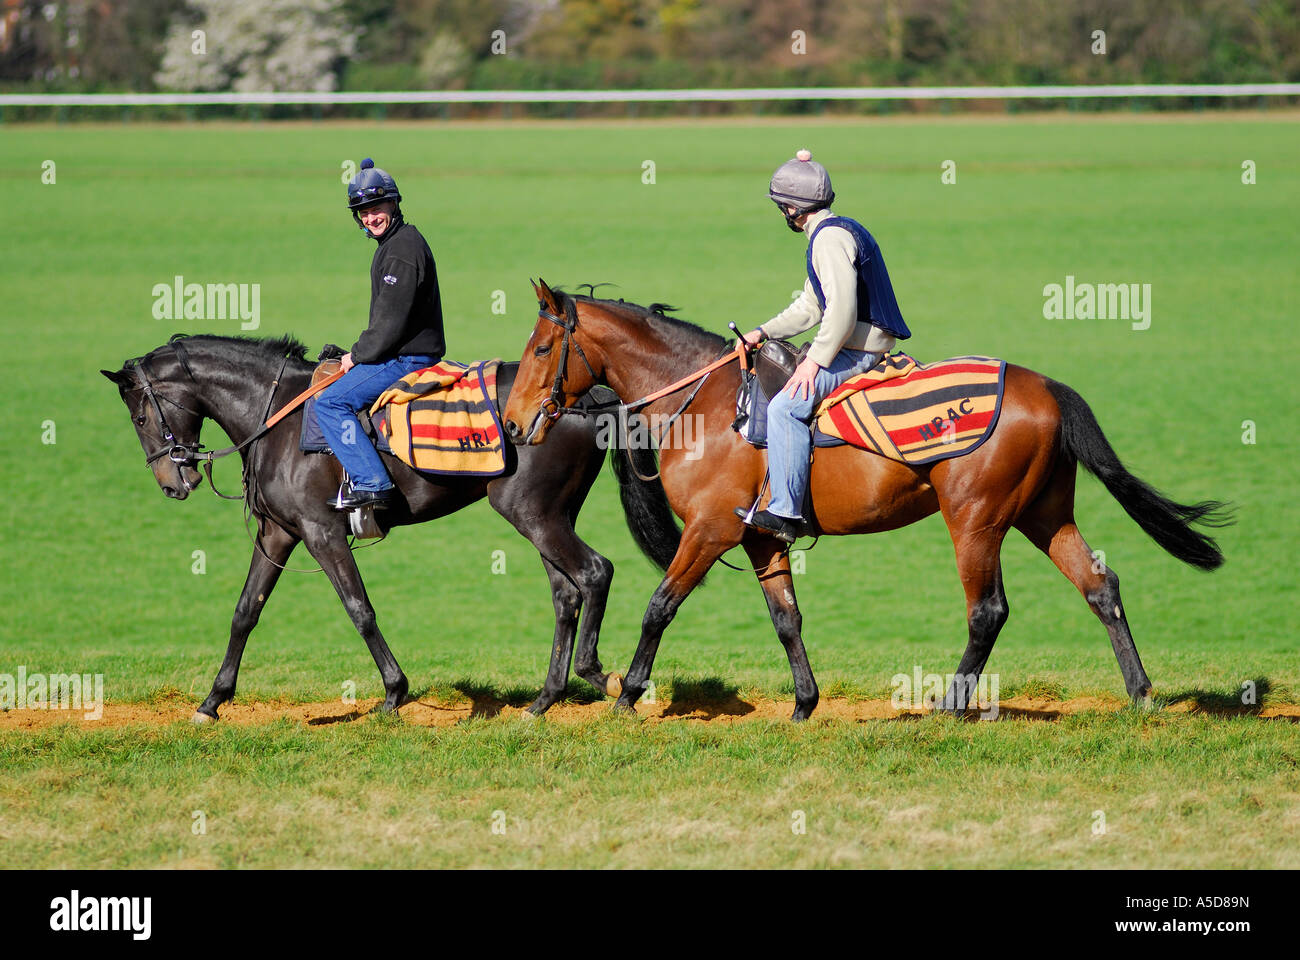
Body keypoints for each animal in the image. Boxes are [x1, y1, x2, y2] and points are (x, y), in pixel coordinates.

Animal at [104, 335, 621, 718]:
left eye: (141, 416)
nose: (173, 483)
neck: (277, 417)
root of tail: (585, 398)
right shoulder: (278, 533)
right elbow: (246, 610)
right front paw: (213, 700)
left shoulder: (322, 533)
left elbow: (359, 609)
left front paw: (394, 692)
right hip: (547, 517)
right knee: (566, 593)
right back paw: (545, 700)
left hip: (532, 514)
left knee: (595, 571)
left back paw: (603, 677)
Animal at [499, 280, 1227, 723]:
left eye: (541, 347)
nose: (511, 421)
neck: (705, 403)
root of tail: (1045, 384)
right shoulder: (760, 537)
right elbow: (787, 619)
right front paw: (803, 704)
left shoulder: (708, 532)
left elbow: (659, 608)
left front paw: (626, 694)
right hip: (1043, 515)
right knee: (1101, 587)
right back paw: (1141, 695)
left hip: (977, 521)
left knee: (988, 611)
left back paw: (948, 704)